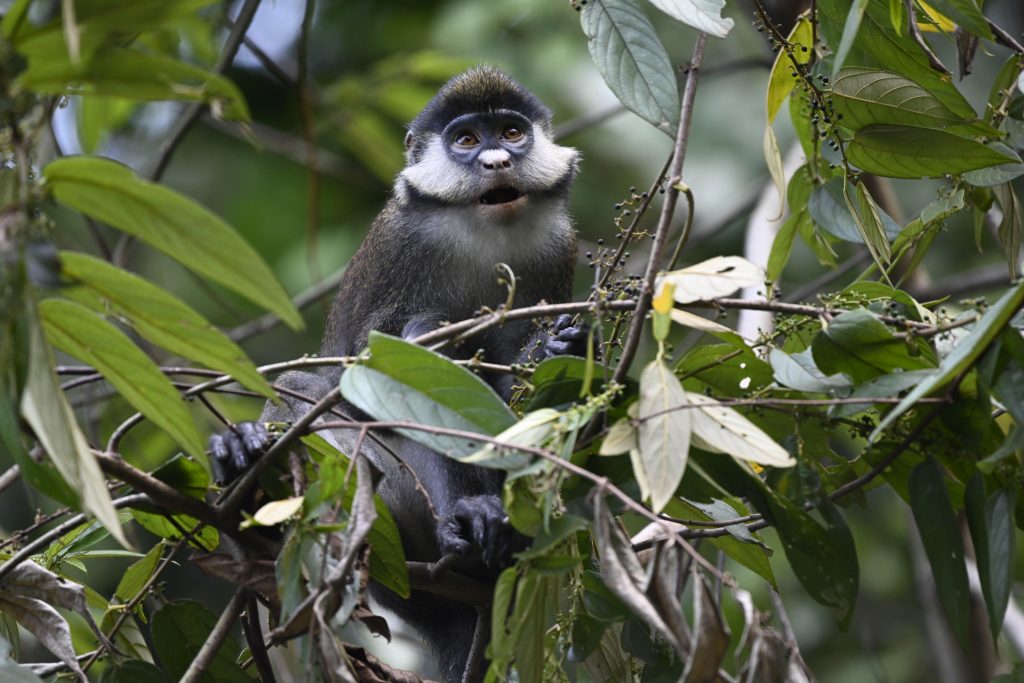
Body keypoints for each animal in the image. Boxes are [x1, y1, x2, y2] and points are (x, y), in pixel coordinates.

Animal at [209, 67, 583, 682]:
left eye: (512, 131)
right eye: (466, 140)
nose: (498, 161)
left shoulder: (559, 248)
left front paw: (555, 344)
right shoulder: (400, 247)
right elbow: (384, 376)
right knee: (306, 389)